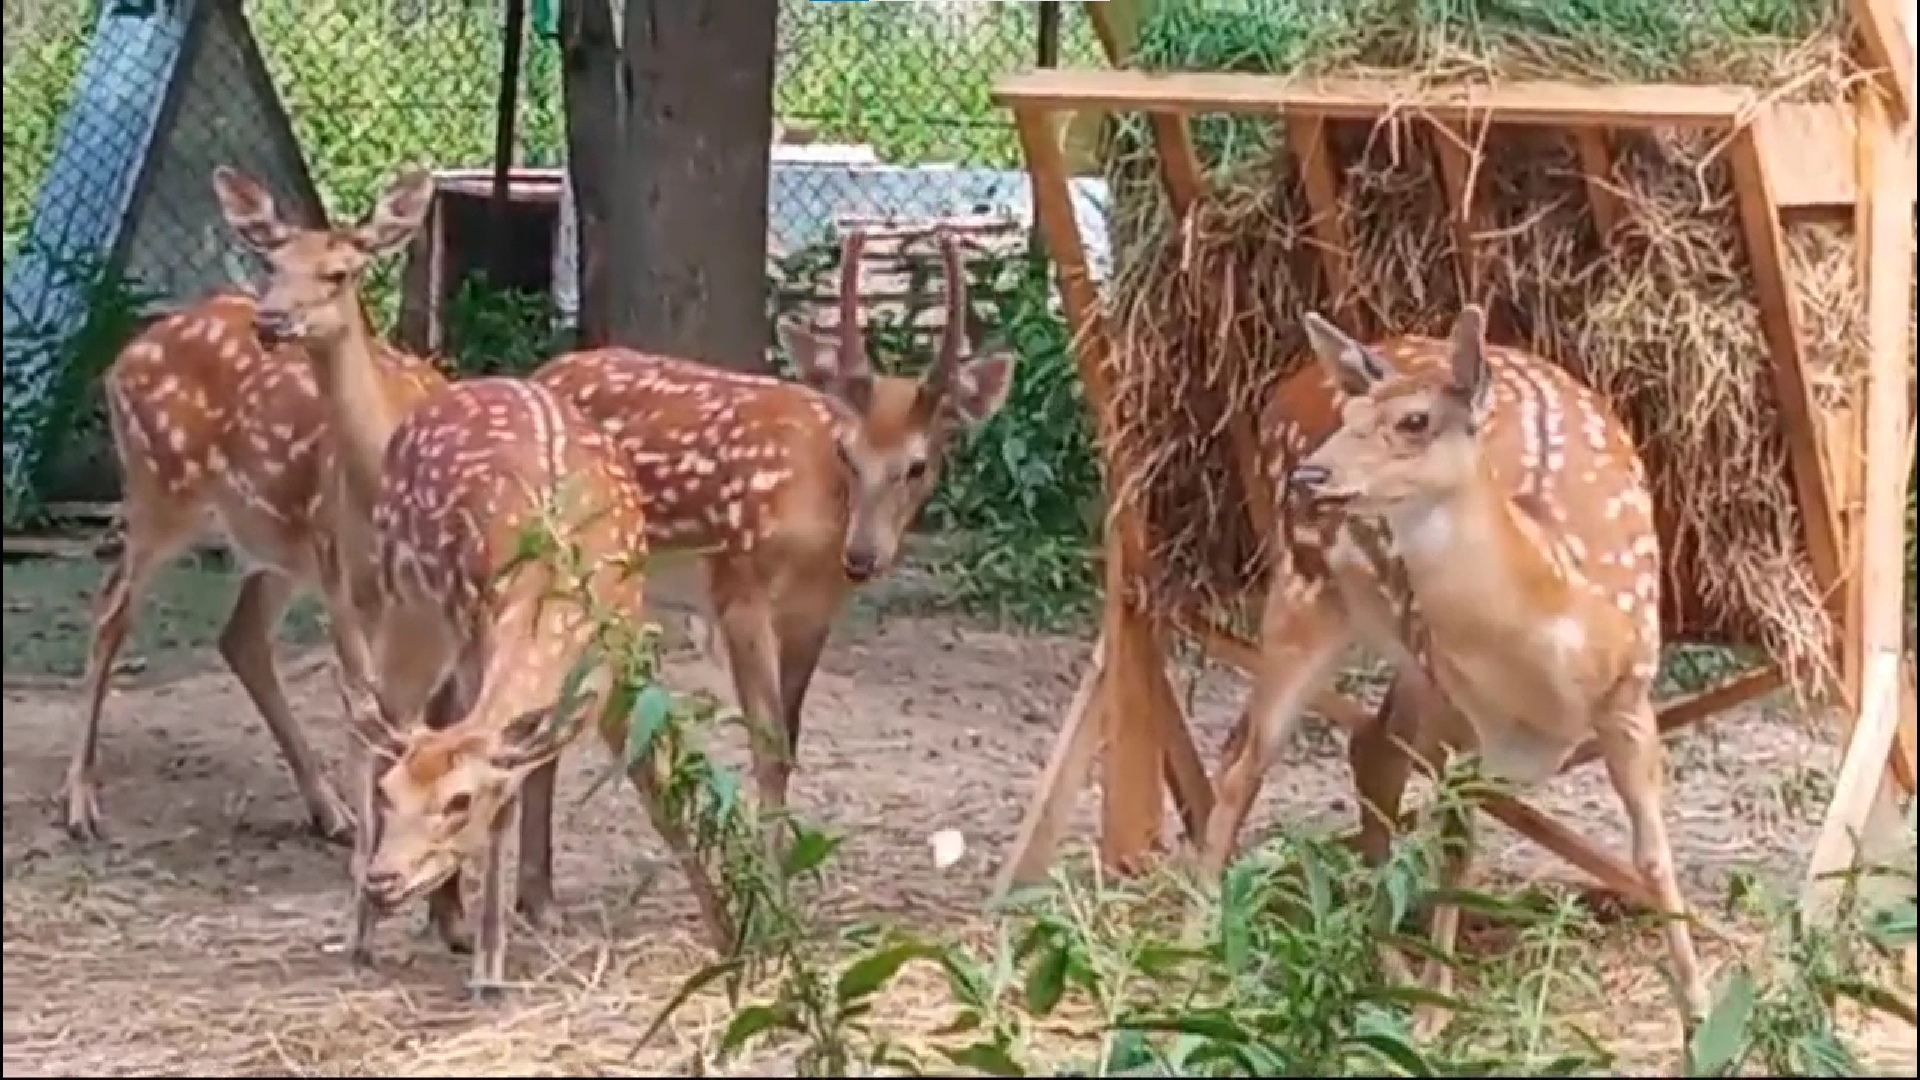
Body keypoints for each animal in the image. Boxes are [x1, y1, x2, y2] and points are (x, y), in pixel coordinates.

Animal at [533, 228, 1021, 814]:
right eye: (846, 452)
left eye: (918, 465)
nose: (863, 557)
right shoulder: (738, 588)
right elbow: (768, 748)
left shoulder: (815, 616)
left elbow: (791, 739)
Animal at [1198, 307, 1712, 1030]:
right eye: (1351, 414)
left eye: (1415, 421)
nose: (1312, 476)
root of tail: (1284, 393)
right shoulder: (1458, 713)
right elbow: (1455, 846)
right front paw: (1434, 1012)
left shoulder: (1631, 695)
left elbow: (1653, 854)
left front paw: (1700, 1009)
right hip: (1304, 591)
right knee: (1245, 756)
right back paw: (1194, 947)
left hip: (1405, 657)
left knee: (1369, 749)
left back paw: (1382, 961)